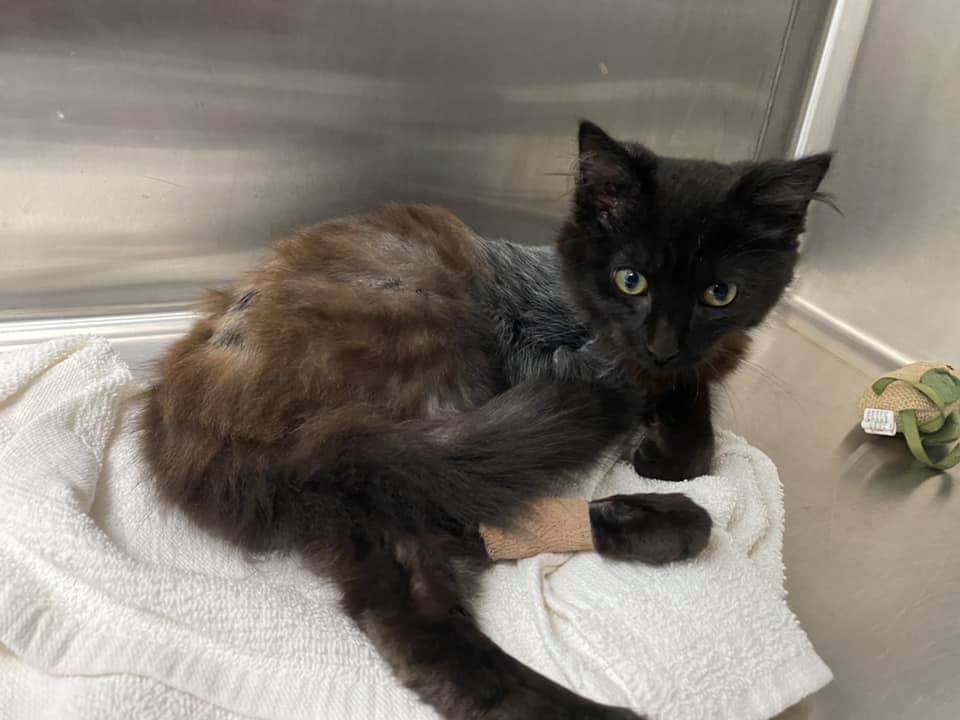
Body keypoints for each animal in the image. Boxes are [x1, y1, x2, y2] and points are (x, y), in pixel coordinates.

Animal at [142, 120, 830, 720]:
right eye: (630, 279)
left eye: (721, 293)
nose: (661, 344)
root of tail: (190, 406)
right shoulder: (547, 354)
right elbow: (670, 421)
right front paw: (652, 429)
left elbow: (695, 425)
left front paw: (667, 435)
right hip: (428, 348)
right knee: (450, 548)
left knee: (425, 583)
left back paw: (658, 524)